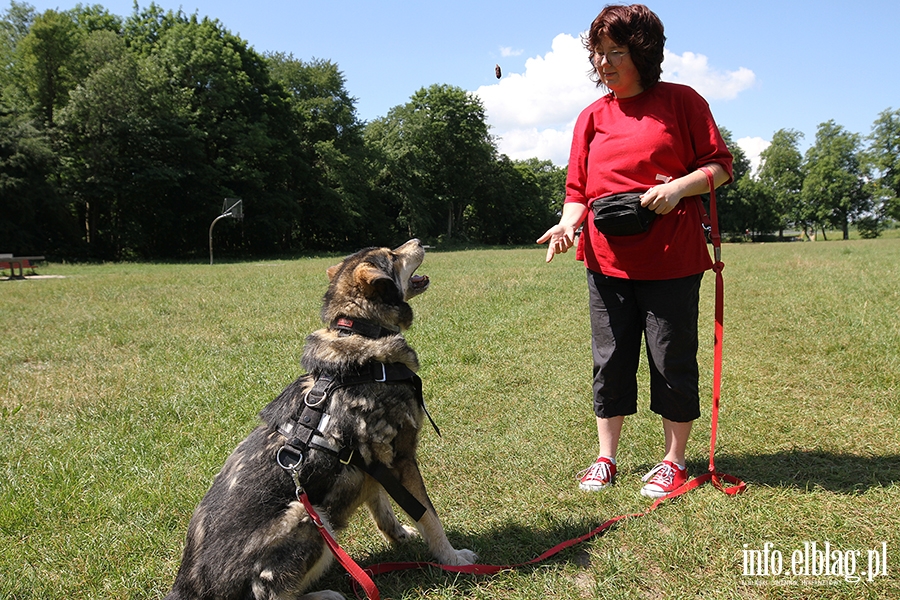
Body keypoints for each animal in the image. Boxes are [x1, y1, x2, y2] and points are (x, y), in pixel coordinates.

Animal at [167, 239, 478, 600]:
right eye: (393, 255)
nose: (417, 241)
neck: (364, 334)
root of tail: (187, 588)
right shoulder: (402, 458)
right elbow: (428, 515)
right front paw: (452, 557)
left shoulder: (372, 463)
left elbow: (383, 508)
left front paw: (400, 535)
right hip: (309, 515)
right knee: (272, 594)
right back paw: (325, 595)